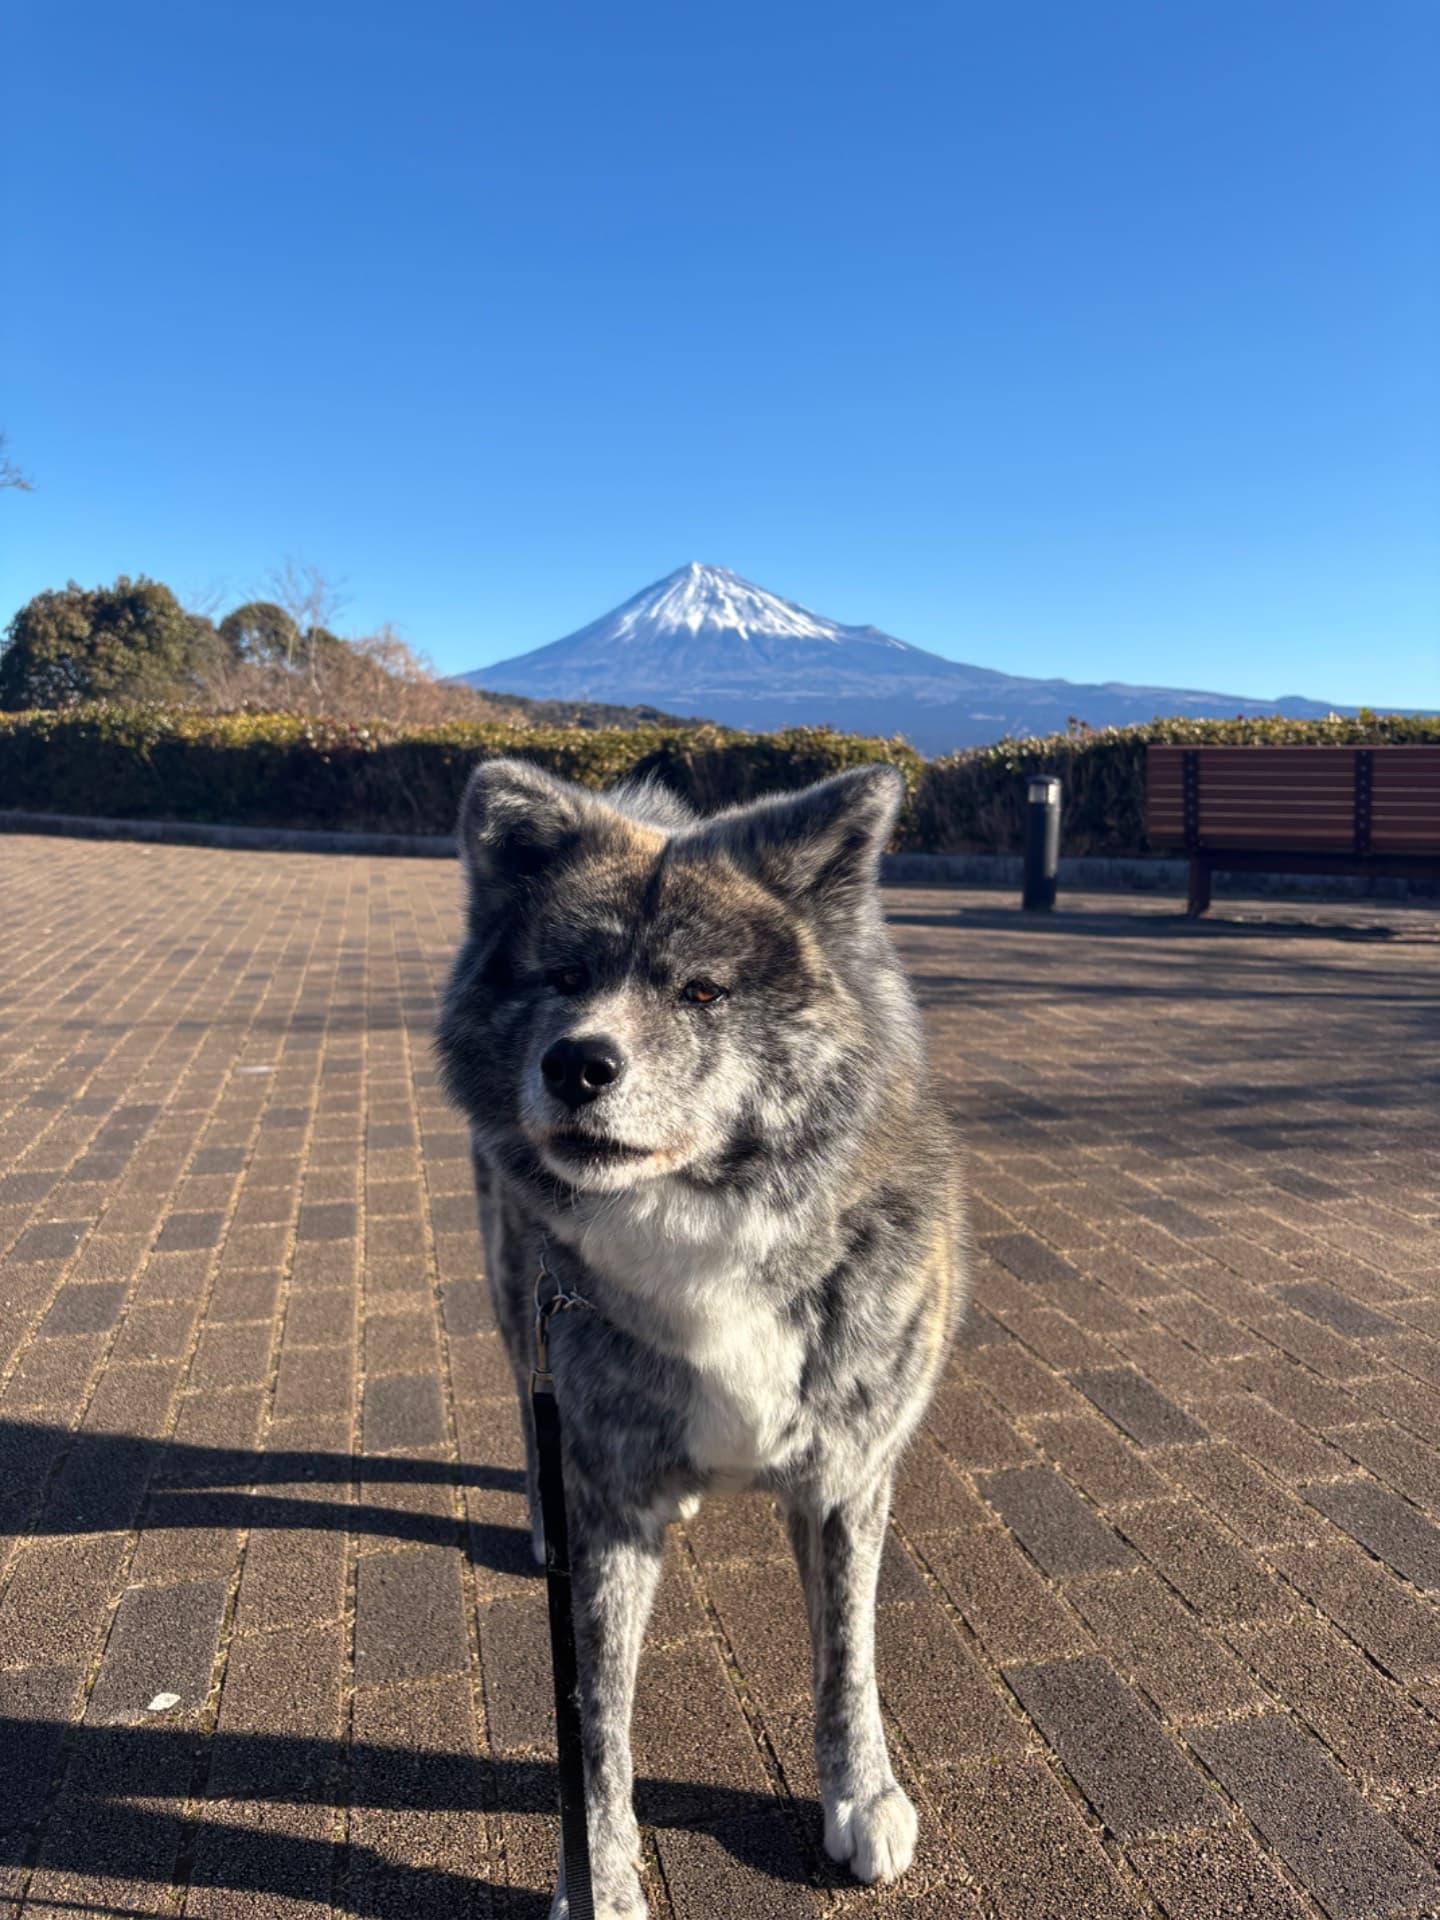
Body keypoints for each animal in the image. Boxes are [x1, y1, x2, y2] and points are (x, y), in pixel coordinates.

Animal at [437, 757, 967, 1918]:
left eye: (703, 992)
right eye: (563, 975)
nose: (577, 1063)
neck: (708, 1231)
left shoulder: (847, 1474)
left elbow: (848, 1656)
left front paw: (861, 1794)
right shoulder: (612, 1506)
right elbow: (594, 1725)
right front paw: (598, 1883)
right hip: (514, 1299)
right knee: (528, 1413)